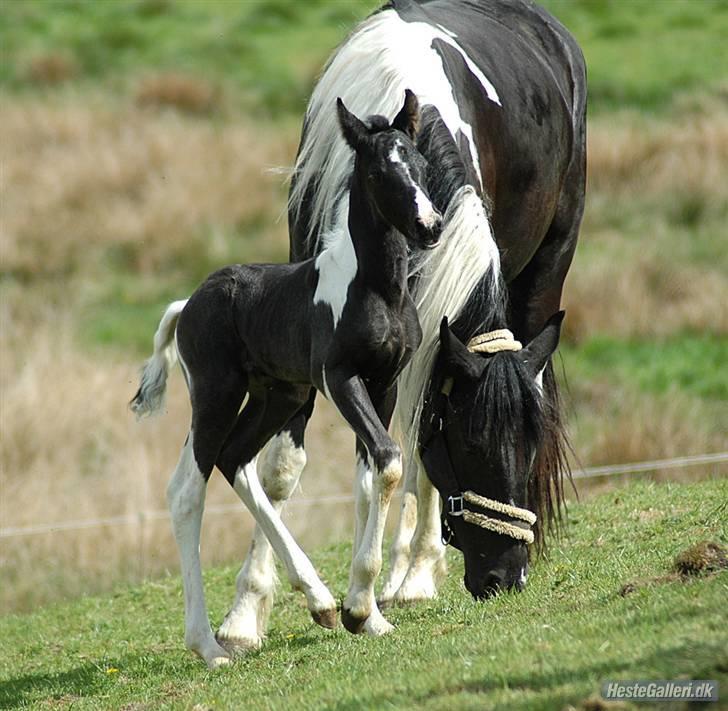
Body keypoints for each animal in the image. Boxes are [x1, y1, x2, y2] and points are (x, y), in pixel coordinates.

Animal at [129, 93, 444, 668]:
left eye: (418, 162)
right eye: (377, 171)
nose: (429, 226)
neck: (375, 287)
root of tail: (189, 304)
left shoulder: (384, 383)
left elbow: (370, 476)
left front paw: (364, 612)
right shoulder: (340, 379)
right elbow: (389, 462)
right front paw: (358, 608)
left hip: (277, 395)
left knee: (234, 459)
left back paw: (318, 601)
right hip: (217, 395)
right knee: (187, 489)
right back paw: (210, 646)